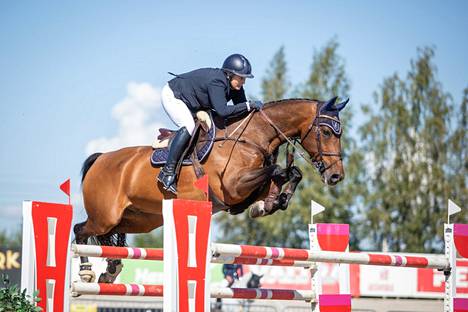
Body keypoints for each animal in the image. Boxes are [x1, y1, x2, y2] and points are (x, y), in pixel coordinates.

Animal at [75, 97, 350, 282]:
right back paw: (87, 271)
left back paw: (111, 269)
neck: (253, 137)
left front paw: (271, 203)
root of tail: (101, 158)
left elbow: (290, 173)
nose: (336, 176)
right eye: (326, 132)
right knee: (81, 230)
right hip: (104, 216)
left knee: (111, 235)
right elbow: (277, 171)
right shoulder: (233, 187)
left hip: (140, 220)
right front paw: (269, 203)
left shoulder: (243, 192)